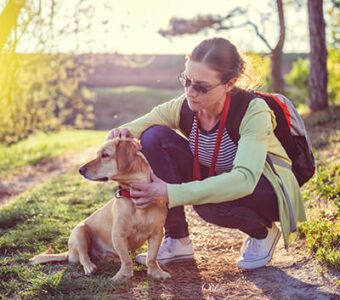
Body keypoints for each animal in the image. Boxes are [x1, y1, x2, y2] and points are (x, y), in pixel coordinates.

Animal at [29, 138, 170, 282]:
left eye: (105, 155)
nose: (80, 169)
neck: (132, 196)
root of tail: (68, 253)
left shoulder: (157, 234)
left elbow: (151, 258)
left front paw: (156, 272)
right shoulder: (118, 236)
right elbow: (127, 259)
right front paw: (123, 274)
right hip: (80, 231)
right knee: (83, 256)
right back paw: (90, 266)